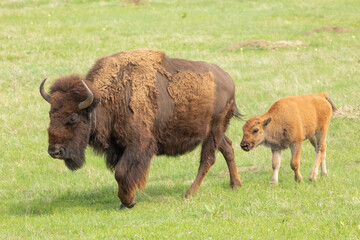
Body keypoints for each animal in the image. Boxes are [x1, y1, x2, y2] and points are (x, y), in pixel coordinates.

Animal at [40, 49, 242, 209]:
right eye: (50, 114)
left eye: (73, 117)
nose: (55, 151)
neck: (109, 99)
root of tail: (228, 79)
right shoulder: (119, 147)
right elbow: (122, 173)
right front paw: (126, 202)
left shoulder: (138, 145)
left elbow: (121, 172)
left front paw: (128, 201)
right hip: (215, 132)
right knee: (227, 147)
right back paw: (235, 185)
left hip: (213, 129)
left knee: (207, 159)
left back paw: (188, 194)